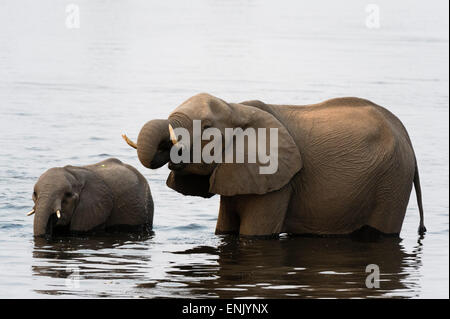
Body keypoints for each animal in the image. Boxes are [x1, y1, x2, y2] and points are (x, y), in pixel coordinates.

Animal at [122, 93, 426, 238]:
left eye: (206, 127)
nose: (170, 148)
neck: (237, 107)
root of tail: (407, 137)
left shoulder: (280, 181)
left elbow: (255, 234)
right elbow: (225, 230)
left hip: (393, 181)